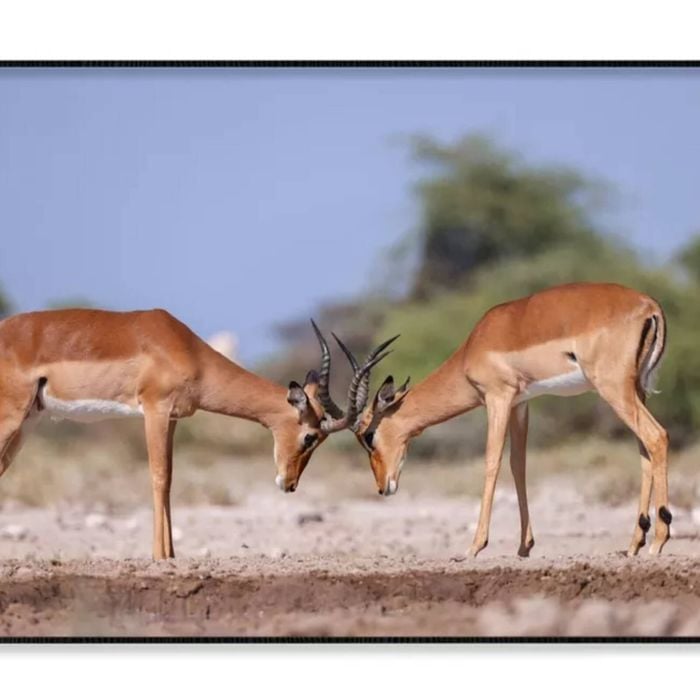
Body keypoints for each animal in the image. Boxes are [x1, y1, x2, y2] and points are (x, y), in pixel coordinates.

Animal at [0, 308, 393, 559]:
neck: (185, 348)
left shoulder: (173, 418)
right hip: (12, 417)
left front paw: (172, 555)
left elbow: (171, 481)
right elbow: (159, 477)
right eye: (310, 437)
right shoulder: (154, 411)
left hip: (28, 421)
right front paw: (159, 557)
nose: (289, 483)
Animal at [316, 282, 670, 558]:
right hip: (636, 389)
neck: (475, 345)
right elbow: (518, 464)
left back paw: (658, 541)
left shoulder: (497, 398)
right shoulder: (520, 404)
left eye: (368, 436)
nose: (382, 487)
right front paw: (524, 547)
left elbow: (491, 462)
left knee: (656, 436)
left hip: (612, 388)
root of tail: (649, 305)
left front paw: (474, 547)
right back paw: (634, 544)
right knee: (644, 449)